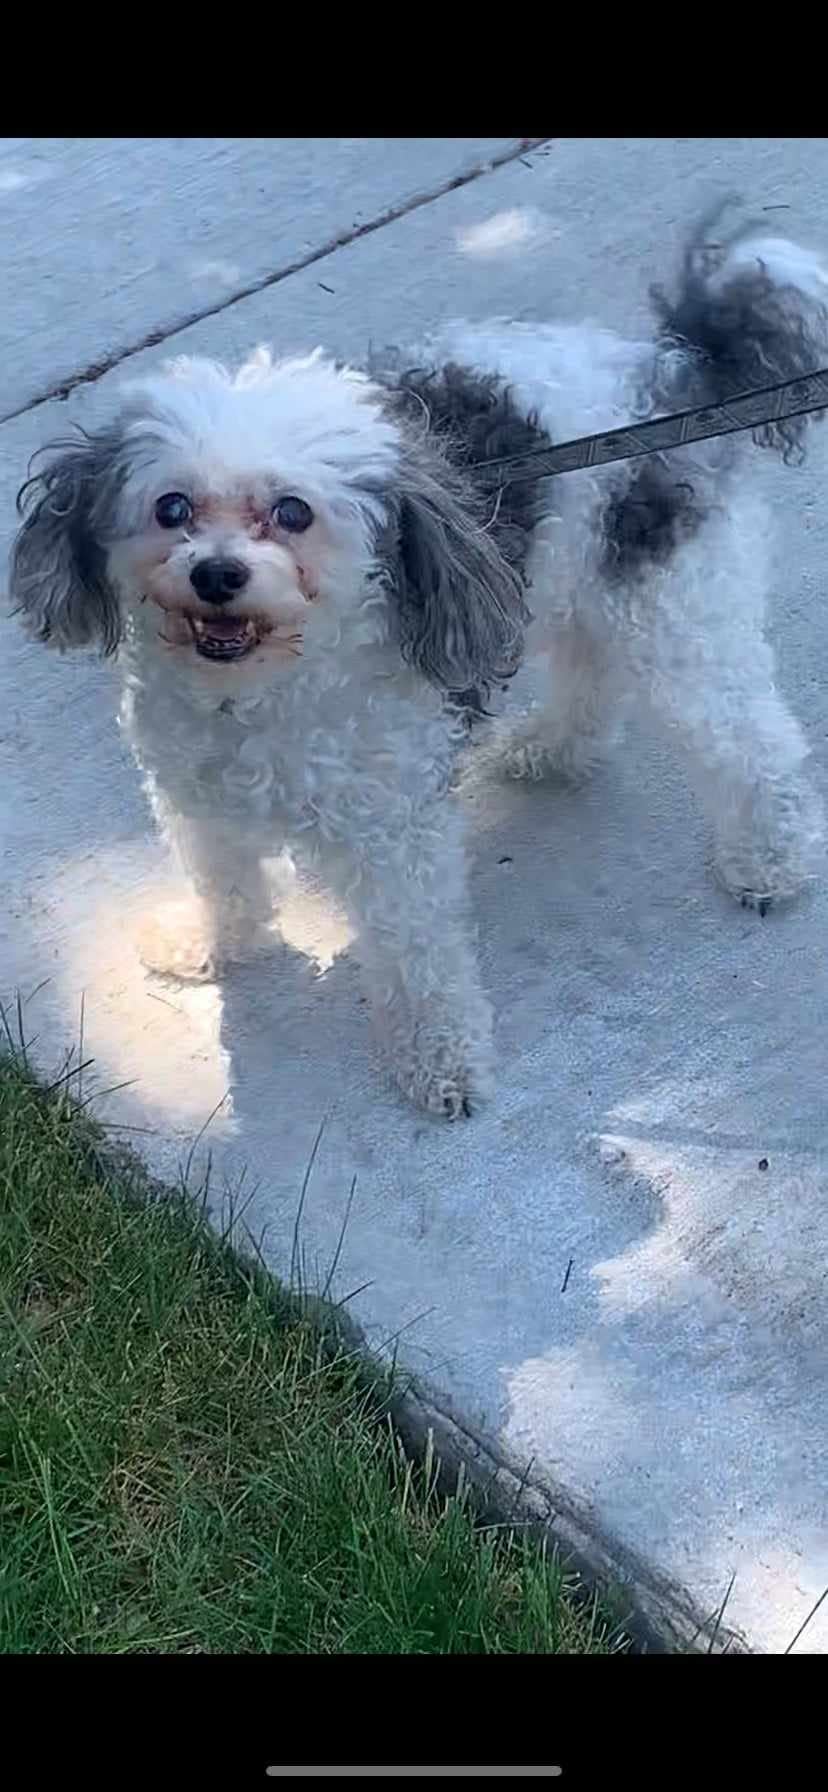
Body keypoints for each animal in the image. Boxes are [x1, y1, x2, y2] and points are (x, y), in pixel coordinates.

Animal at [8, 213, 828, 1118]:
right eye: (172, 507)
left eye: (292, 512)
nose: (216, 574)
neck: (260, 693)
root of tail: (670, 365)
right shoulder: (196, 796)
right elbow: (225, 883)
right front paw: (217, 945)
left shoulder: (394, 836)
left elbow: (417, 957)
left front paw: (439, 1059)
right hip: (569, 584)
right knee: (590, 671)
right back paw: (554, 750)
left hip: (676, 614)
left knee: (752, 742)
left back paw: (770, 861)